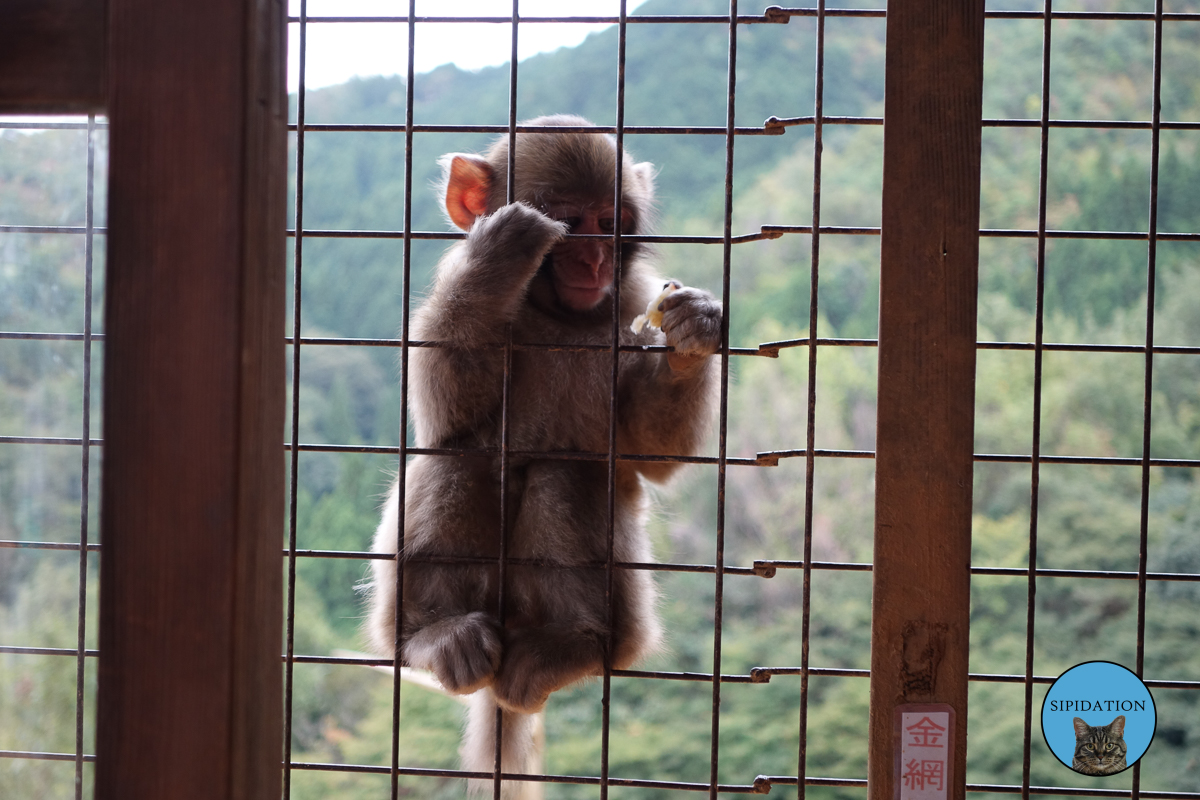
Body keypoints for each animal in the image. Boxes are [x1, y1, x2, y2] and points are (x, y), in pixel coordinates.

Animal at [364, 113, 715, 796]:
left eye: (611, 220)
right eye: (569, 220)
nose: (596, 258)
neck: (558, 315)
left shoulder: (630, 296)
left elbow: (647, 452)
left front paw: (690, 330)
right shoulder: (453, 273)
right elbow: (446, 415)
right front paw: (498, 259)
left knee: (566, 472)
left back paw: (575, 642)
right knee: (458, 459)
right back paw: (432, 635)